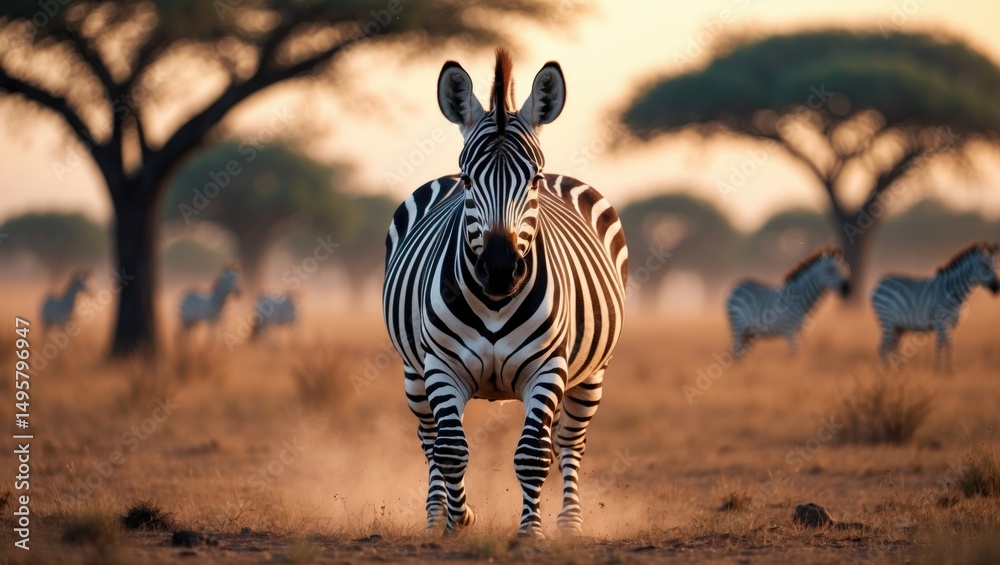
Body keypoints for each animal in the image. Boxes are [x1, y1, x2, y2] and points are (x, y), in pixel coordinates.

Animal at [382, 49, 628, 538]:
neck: (495, 301)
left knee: (569, 441)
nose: (498, 270)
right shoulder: (441, 366)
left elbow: (533, 455)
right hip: (413, 373)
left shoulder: (548, 367)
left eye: (533, 179)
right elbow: (452, 450)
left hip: (592, 373)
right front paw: (459, 520)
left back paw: (570, 522)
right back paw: (434, 516)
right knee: (430, 440)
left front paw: (530, 533)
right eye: (466, 179)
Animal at [871, 241, 999, 371]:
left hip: (898, 326)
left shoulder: (950, 324)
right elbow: (944, 345)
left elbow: (945, 345)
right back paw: (887, 371)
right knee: (883, 348)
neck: (953, 292)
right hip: (887, 320)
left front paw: (945, 369)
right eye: (984, 267)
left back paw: (898, 371)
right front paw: (943, 370)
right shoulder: (941, 322)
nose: (997, 288)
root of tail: (878, 285)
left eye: (996, 266)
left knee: (893, 347)